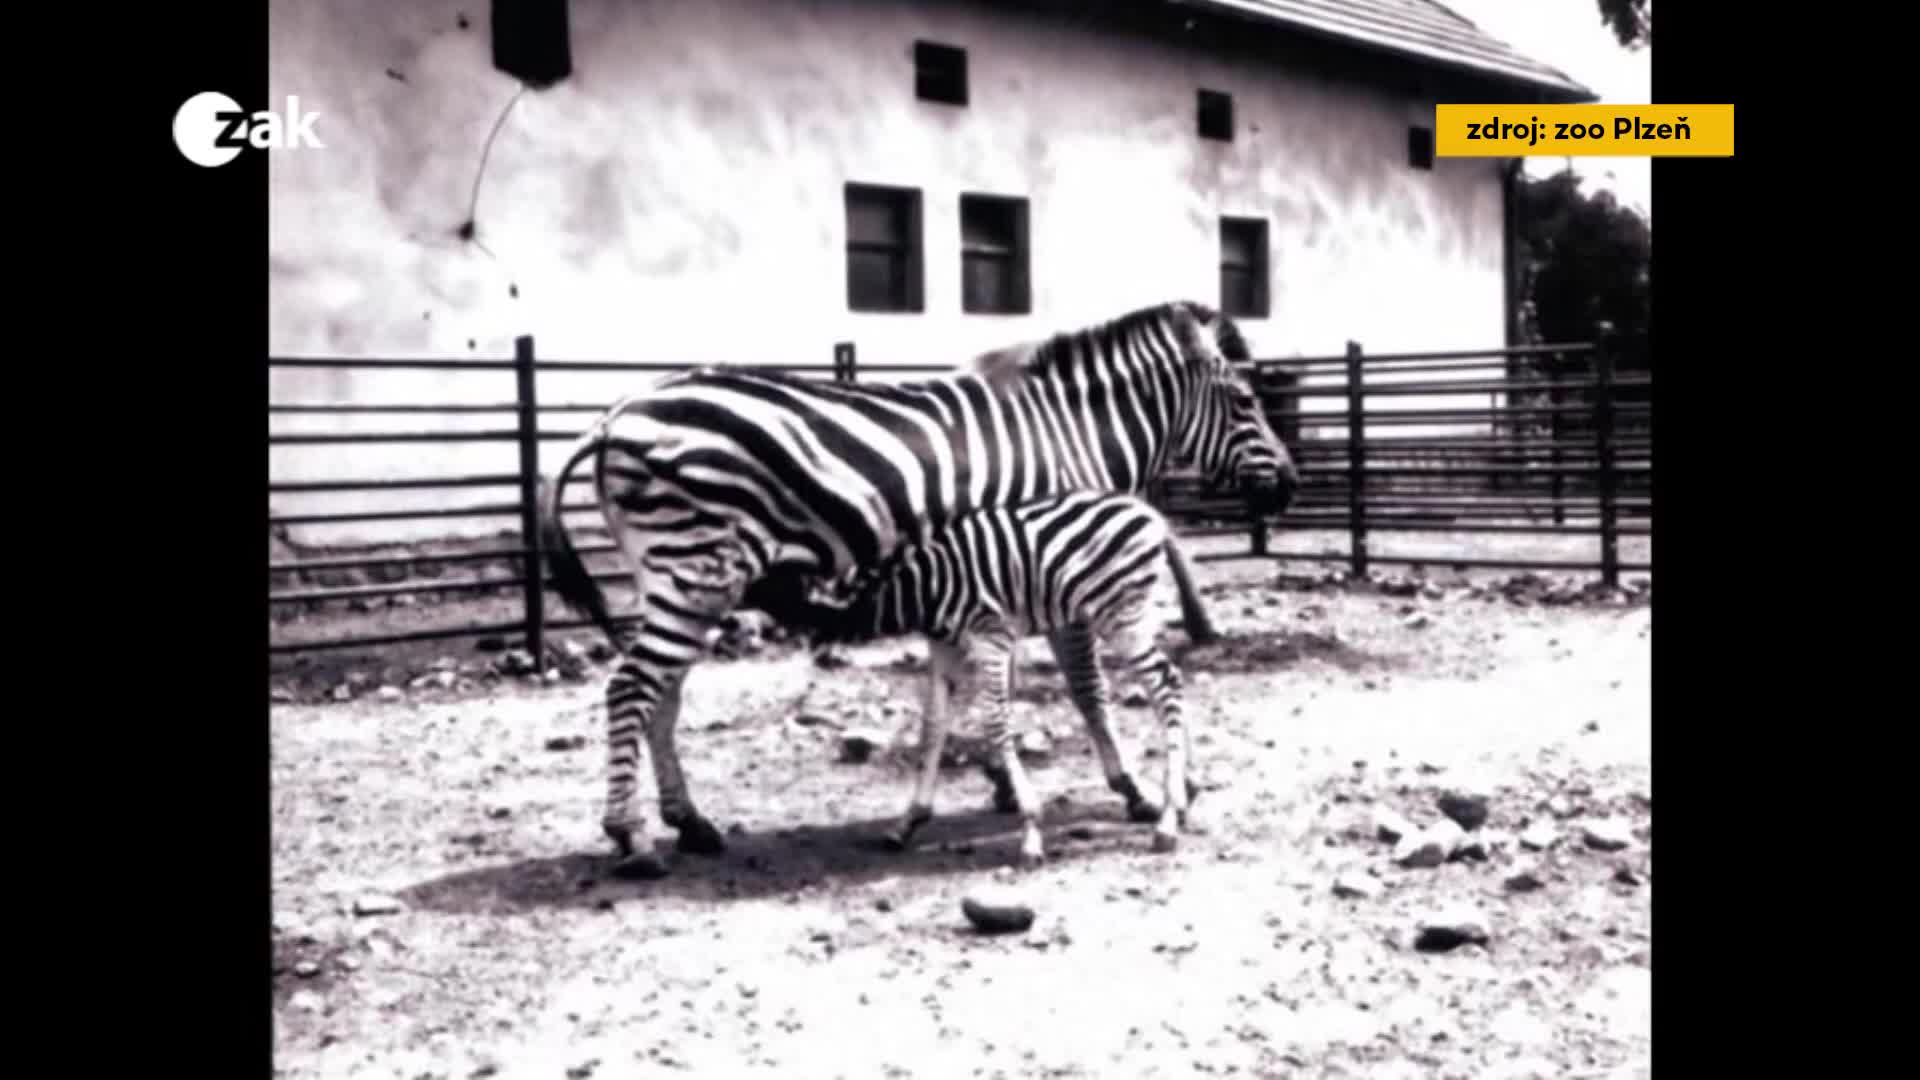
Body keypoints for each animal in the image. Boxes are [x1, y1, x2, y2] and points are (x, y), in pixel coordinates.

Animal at [783, 489, 1197, 865]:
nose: (812, 648)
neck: (924, 585)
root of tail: (1151, 514)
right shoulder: (944, 646)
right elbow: (933, 725)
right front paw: (910, 820)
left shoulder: (992, 636)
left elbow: (997, 721)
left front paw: (1030, 830)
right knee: (1169, 683)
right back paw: (1180, 799)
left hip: (1120, 615)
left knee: (1166, 684)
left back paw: (1168, 819)